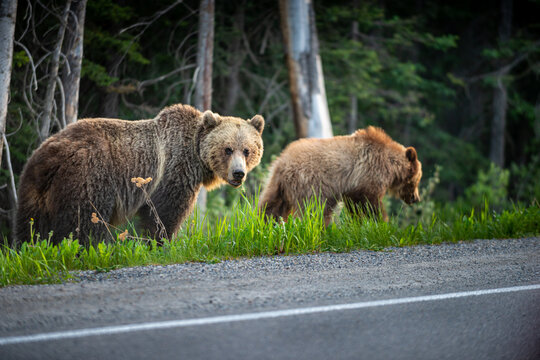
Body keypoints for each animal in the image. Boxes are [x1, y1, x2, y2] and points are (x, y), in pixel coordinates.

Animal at [17, 103, 266, 245]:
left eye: (247, 150)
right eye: (227, 149)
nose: (238, 173)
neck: (195, 154)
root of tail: (49, 157)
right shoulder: (174, 171)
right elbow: (164, 213)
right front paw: (160, 242)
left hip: (33, 189)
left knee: (30, 226)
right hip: (87, 177)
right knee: (84, 222)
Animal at [260, 125, 422, 224]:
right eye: (416, 180)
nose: (415, 198)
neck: (391, 167)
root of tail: (283, 162)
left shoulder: (353, 187)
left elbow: (355, 205)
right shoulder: (369, 175)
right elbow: (369, 203)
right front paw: (381, 221)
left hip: (275, 184)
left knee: (270, 206)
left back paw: (265, 224)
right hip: (311, 182)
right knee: (316, 208)